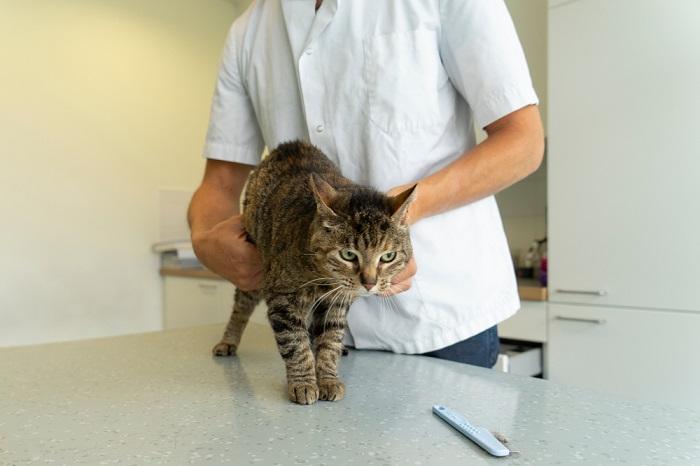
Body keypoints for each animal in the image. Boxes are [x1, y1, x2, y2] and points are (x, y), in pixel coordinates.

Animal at [211, 140, 412, 406]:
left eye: (388, 257)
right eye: (348, 255)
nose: (369, 283)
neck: (323, 278)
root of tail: (289, 145)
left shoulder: (337, 304)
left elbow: (329, 341)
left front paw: (327, 378)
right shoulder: (282, 298)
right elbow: (295, 343)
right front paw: (304, 383)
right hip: (252, 272)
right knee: (241, 307)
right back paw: (228, 341)